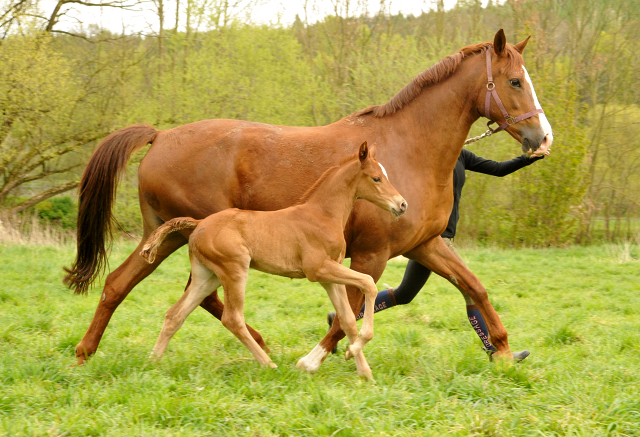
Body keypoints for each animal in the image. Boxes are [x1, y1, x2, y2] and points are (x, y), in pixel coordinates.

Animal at [142, 142, 408, 378]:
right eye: (376, 178)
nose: (402, 204)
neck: (322, 215)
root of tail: (199, 224)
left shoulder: (330, 277)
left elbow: (348, 320)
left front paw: (364, 372)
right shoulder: (318, 270)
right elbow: (368, 283)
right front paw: (353, 351)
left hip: (207, 276)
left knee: (175, 314)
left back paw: (152, 362)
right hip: (234, 270)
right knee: (232, 318)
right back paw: (269, 365)